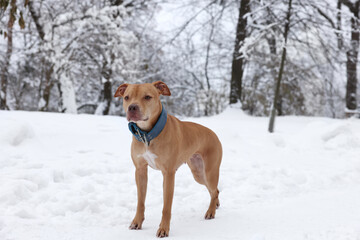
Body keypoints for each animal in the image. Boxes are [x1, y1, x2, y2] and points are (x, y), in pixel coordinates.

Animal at [115, 81, 222, 237]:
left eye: (147, 97)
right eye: (126, 97)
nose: (132, 107)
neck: (147, 135)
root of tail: (214, 134)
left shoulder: (169, 174)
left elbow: (166, 206)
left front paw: (164, 229)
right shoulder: (140, 171)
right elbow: (140, 201)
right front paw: (137, 222)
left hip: (209, 172)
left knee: (214, 190)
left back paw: (210, 212)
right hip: (198, 173)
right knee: (215, 191)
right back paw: (216, 205)